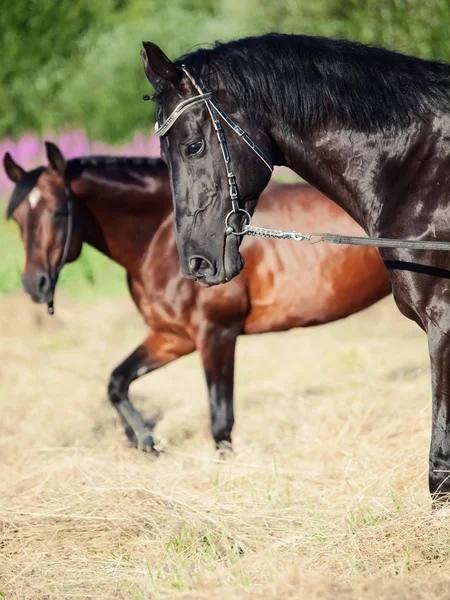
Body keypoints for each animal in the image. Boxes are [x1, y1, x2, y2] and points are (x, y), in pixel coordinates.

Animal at [3, 144, 390, 454]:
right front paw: (144, 439)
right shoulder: (173, 337)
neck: (162, 235)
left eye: (58, 212)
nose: (34, 284)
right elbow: (117, 382)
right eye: (18, 218)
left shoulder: (216, 334)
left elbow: (221, 422)